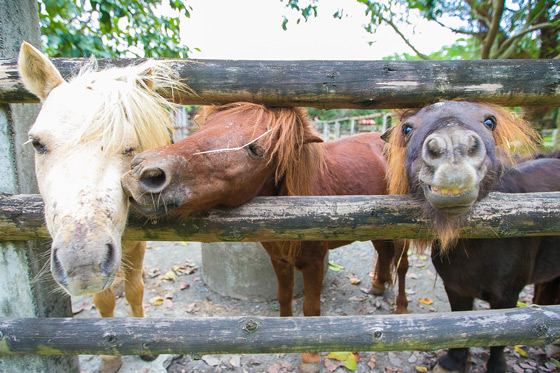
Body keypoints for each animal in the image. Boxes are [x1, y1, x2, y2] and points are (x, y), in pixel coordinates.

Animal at [19, 42, 179, 370]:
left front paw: (143, 341)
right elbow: (102, 301)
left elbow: (135, 290)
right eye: (37, 144)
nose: (82, 264)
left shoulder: (138, 243)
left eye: (130, 147)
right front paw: (109, 356)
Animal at [122, 101, 410, 370]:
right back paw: (378, 286)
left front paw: (309, 357)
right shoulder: (279, 259)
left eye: (256, 149)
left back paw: (402, 308)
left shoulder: (315, 263)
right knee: (383, 253)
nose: (144, 172)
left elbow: (312, 309)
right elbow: (284, 295)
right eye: (204, 126)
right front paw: (282, 332)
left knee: (402, 267)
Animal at [382, 99, 560, 372]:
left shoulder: (507, 295)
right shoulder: (456, 287)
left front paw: (496, 366)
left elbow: (503, 336)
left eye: (490, 121)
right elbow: (461, 324)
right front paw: (453, 361)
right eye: (407, 128)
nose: (452, 148)